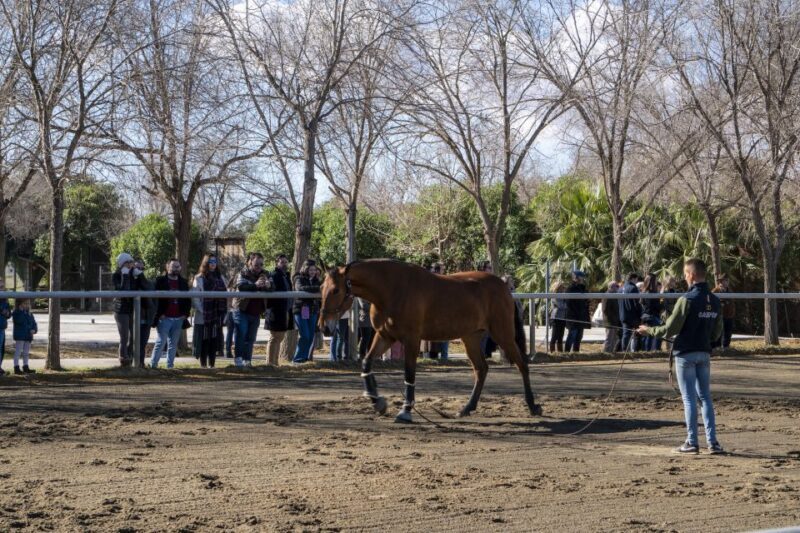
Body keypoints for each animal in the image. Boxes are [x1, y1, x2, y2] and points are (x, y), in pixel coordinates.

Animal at [319, 259, 543, 423]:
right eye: (321, 287)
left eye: (336, 290)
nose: (324, 326)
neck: (391, 288)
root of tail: (504, 287)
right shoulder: (385, 336)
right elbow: (366, 362)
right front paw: (377, 401)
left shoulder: (411, 339)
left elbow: (409, 374)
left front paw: (405, 411)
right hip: (471, 337)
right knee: (481, 369)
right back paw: (466, 408)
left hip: (502, 333)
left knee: (522, 364)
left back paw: (533, 405)